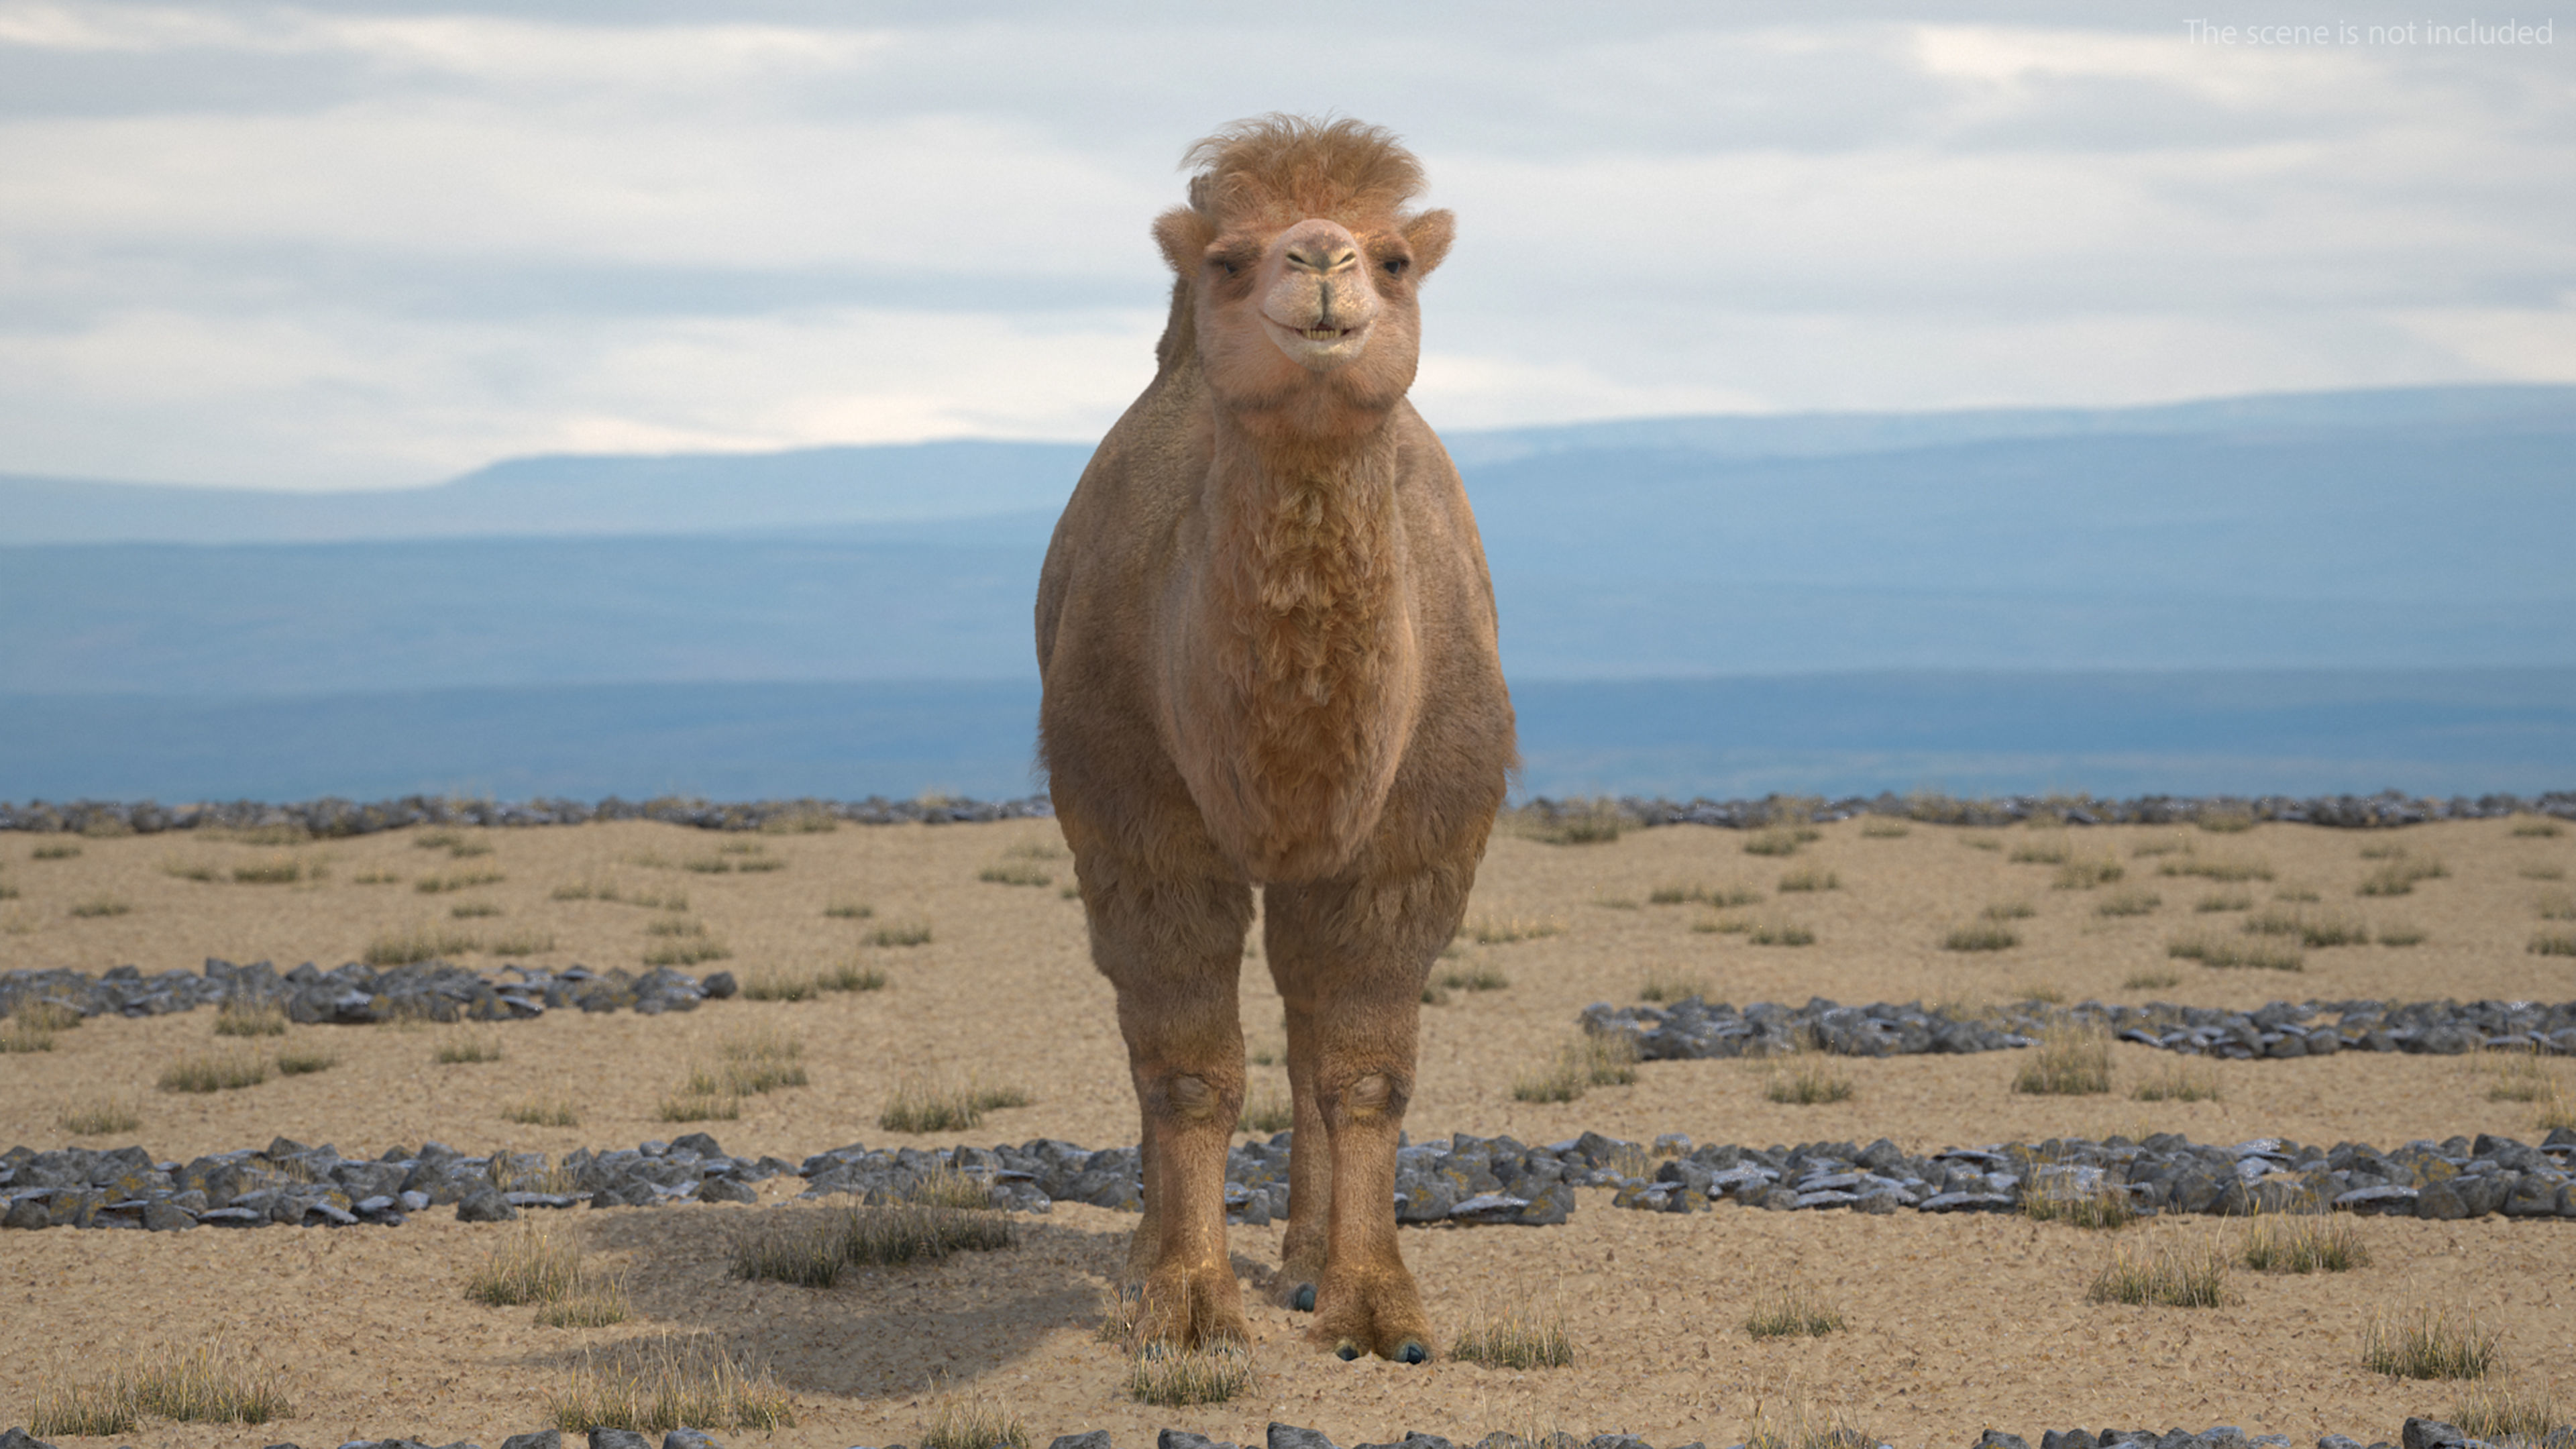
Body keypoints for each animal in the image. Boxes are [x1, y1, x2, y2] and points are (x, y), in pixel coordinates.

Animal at [1035, 115, 1516, 1364]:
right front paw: (1187, 1302)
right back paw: (1153, 1254)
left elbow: (1366, 1075)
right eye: (1229, 259)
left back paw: (1302, 1259)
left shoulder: (1410, 841)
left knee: (1306, 1025)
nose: (1322, 262)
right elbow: (1188, 1073)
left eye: (1394, 258)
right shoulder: (1136, 823)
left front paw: (1377, 1307)